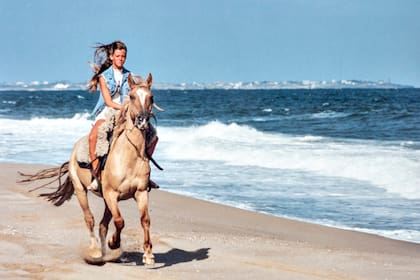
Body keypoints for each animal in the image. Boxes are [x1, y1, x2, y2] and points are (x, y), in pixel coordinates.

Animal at [20, 73, 162, 266]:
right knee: (90, 219)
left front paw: (148, 254)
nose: (142, 121)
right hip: (81, 190)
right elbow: (120, 221)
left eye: (151, 97)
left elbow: (144, 220)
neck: (130, 156)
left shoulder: (140, 192)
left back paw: (104, 253)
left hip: (107, 200)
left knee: (102, 225)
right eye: (132, 96)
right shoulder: (111, 194)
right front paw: (114, 243)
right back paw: (95, 252)